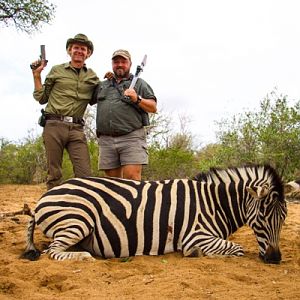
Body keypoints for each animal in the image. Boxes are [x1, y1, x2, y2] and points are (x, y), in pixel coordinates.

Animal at [21, 163, 292, 264]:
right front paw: (196, 254)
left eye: (284, 219)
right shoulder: (195, 236)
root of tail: (44, 197)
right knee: (52, 252)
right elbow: (237, 249)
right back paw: (84, 257)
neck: (214, 203)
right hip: (78, 219)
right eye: (263, 217)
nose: (275, 259)